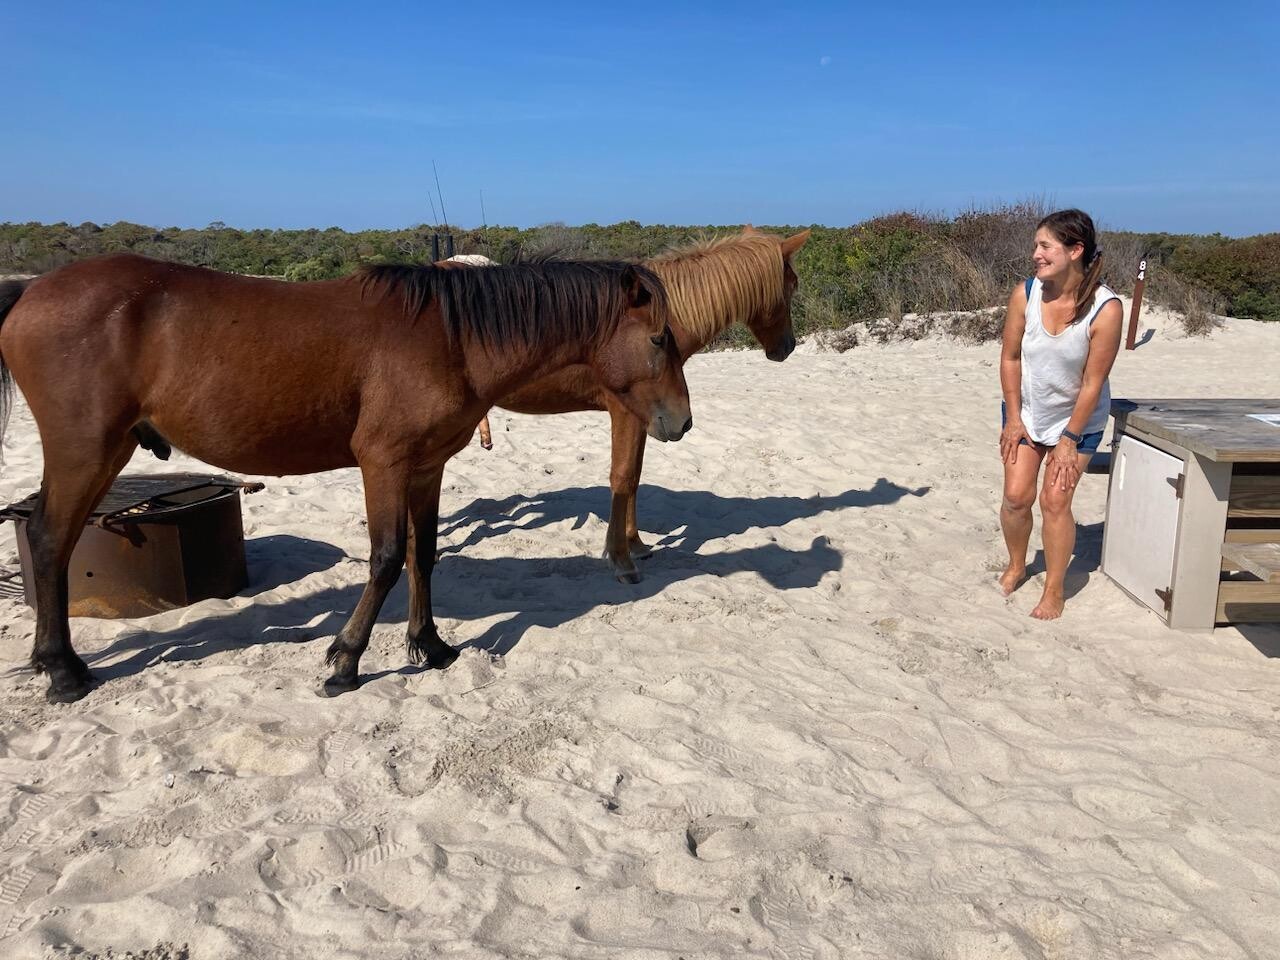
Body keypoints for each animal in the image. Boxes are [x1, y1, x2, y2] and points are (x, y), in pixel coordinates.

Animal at [0, 253, 691, 703]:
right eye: (660, 338)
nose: (681, 422)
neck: (450, 339)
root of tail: (30, 293)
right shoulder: (382, 462)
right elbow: (384, 559)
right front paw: (344, 660)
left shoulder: (426, 466)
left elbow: (422, 554)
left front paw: (430, 645)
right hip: (86, 452)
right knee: (49, 541)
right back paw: (62, 672)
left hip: (106, 452)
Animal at [477, 227, 809, 581]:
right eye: (792, 284)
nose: (788, 347)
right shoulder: (627, 414)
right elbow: (623, 476)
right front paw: (621, 558)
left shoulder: (649, 418)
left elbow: (634, 477)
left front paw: (635, 543)